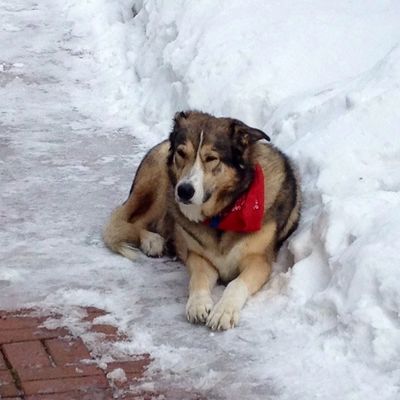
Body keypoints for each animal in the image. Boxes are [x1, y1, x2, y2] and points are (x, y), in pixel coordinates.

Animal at [103, 111, 300, 330]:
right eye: (181, 153)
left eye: (211, 158)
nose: (184, 190)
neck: (224, 213)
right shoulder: (199, 258)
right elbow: (197, 280)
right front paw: (198, 304)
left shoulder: (259, 261)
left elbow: (236, 284)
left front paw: (224, 311)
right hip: (159, 185)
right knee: (129, 223)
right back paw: (152, 241)